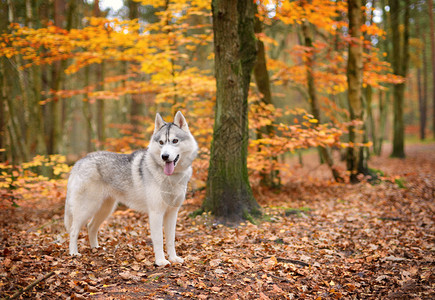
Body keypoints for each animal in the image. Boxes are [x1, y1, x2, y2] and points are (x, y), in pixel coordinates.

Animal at [64, 111, 198, 266]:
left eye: (175, 141)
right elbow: (159, 240)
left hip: (105, 209)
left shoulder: (172, 213)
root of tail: (79, 161)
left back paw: (96, 249)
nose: (164, 156)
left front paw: (173, 258)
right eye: (161, 143)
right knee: (73, 230)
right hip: (87, 208)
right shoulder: (156, 213)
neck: (171, 178)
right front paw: (160, 261)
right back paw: (73, 253)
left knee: (91, 227)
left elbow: (171, 239)